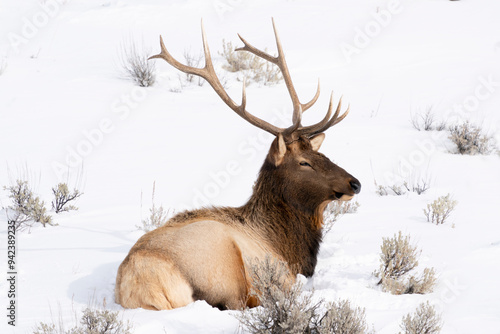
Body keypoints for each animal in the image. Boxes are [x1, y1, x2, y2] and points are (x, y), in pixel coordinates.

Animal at [115, 18, 362, 310]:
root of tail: (146, 287)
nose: (355, 183)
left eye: (322, 155)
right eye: (304, 162)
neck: (288, 247)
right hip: (225, 262)